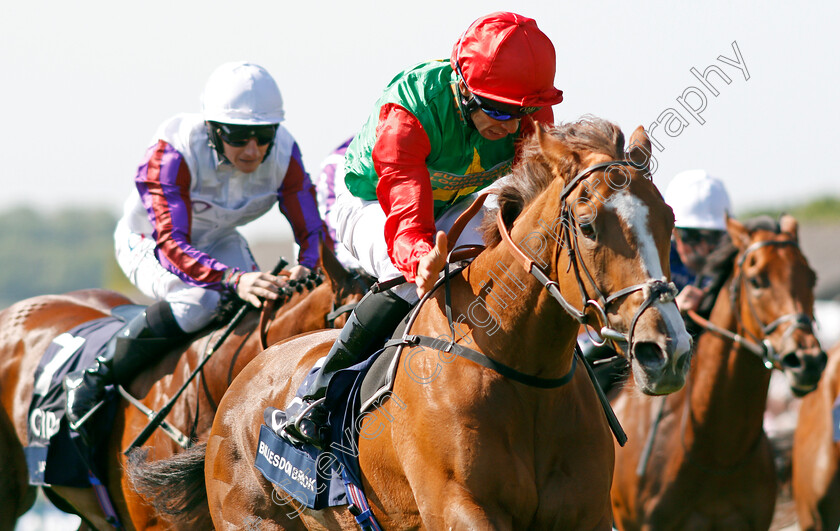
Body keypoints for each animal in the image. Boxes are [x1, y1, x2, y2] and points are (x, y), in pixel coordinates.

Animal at [144, 118, 696, 528]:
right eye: (587, 227)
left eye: (669, 219)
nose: (665, 349)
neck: (522, 370)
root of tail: (241, 385)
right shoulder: (459, 509)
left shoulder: (586, 512)